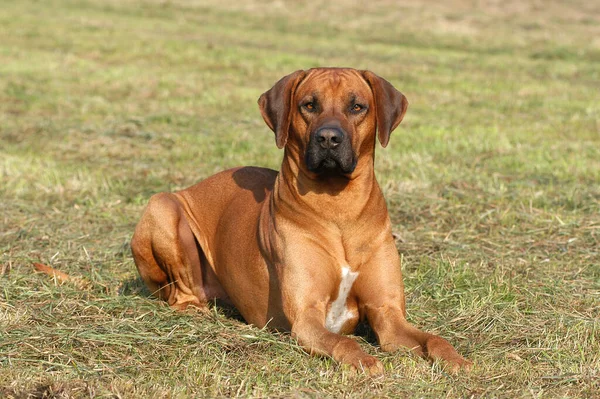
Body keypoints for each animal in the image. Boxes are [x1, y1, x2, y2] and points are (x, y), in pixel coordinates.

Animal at [131, 68, 474, 376]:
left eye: (357, 106)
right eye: (309, 105)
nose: (329, 138)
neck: (339, 208)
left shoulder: (389, 315)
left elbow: (434, 339)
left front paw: (457, 360)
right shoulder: (306, 317)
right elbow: (343, 342)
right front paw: (363, 361)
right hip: (162, 207)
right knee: (181, 293)